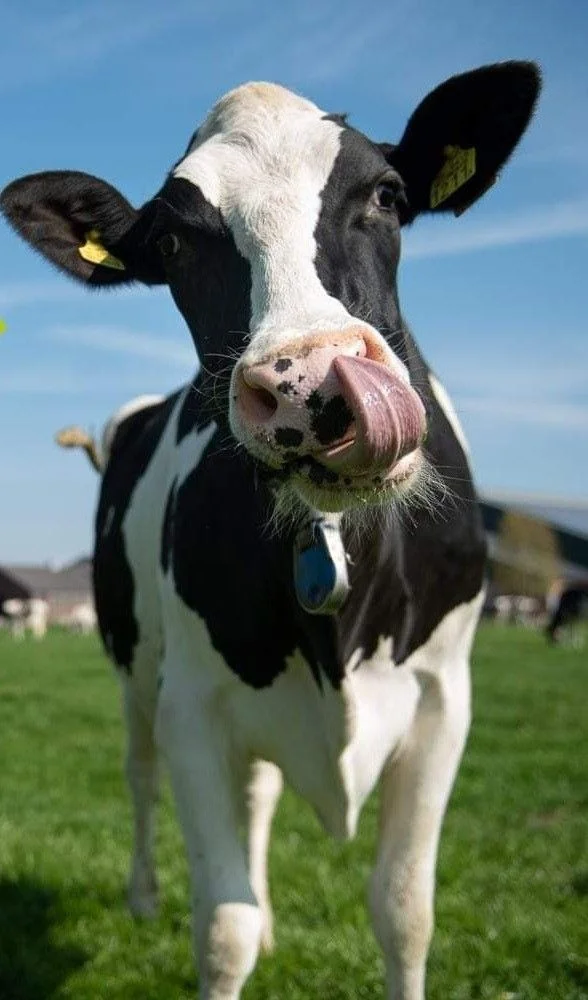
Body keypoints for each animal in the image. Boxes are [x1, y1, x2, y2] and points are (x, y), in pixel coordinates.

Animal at [1, 62, 540, 999]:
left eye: (388, 195)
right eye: (173, 243)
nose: (308, 383)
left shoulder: (444, 700)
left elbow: (405, 912)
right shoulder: (192, 707)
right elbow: (223, 929)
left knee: (256, 801)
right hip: (133, 663)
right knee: (140, 775)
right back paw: (144, 896)